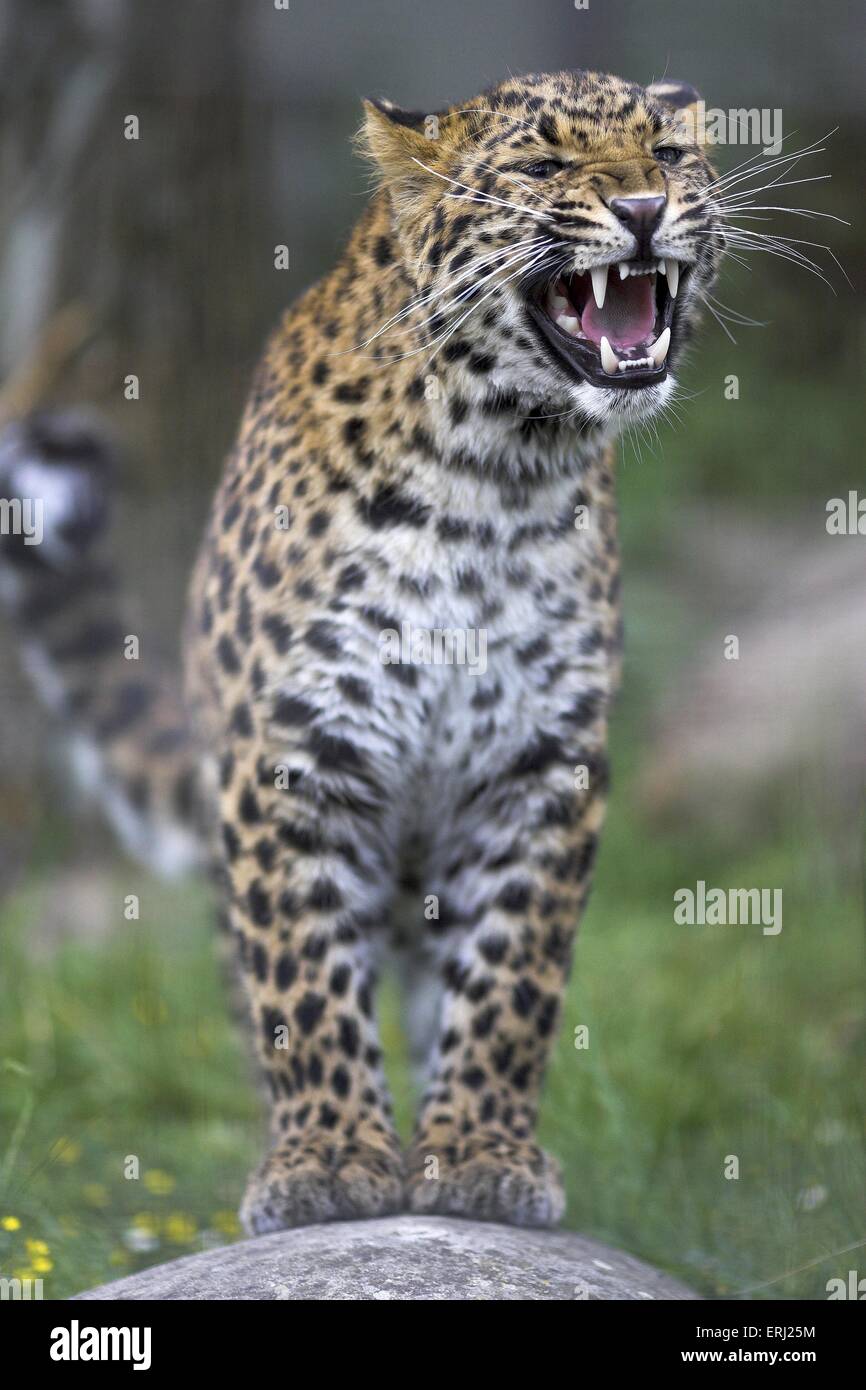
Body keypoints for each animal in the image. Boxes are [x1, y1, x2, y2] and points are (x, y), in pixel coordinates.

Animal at [0, 70, 728, 1234]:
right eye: (544, 166)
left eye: (666, 153)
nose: (643, 208)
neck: (499, 473)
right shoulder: (294, 749)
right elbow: (300, 976)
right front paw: (330, 1162)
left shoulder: (543, 763)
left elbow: (513, 981)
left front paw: (477, 1153)